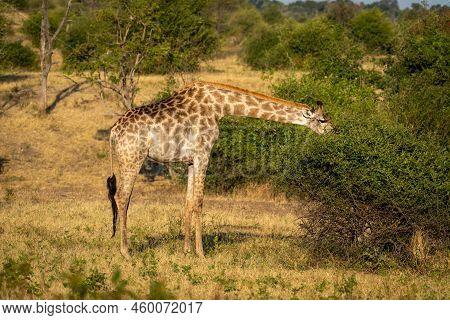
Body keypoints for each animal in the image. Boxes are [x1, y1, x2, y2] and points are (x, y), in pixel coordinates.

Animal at [105, 80, 330, 258]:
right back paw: (126, 252)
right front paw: (201, 253)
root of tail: (113, 132)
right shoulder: (203, 153)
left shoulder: (191, 160)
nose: (332, 130)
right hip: (133, 157)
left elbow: (188, 202)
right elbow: (199, 201)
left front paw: (186, 250)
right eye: (322, 119)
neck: (220, 107)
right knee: (123, 197)